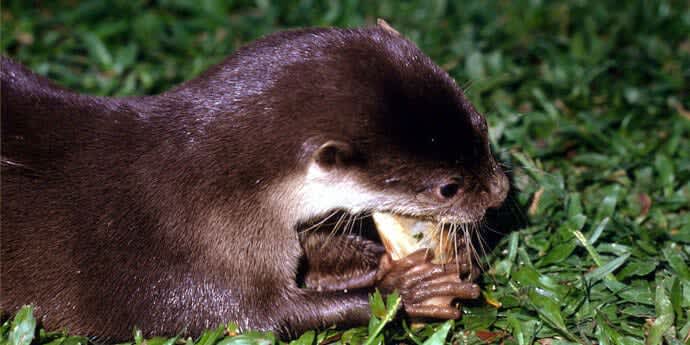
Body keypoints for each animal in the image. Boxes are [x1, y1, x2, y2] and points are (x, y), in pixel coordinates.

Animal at [0, 24, 506, 342]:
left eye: (482, 127)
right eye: (448, 187)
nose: (500, 192)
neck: (207, 190)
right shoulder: (191, 258)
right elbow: (260, 316)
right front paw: (407, 288)